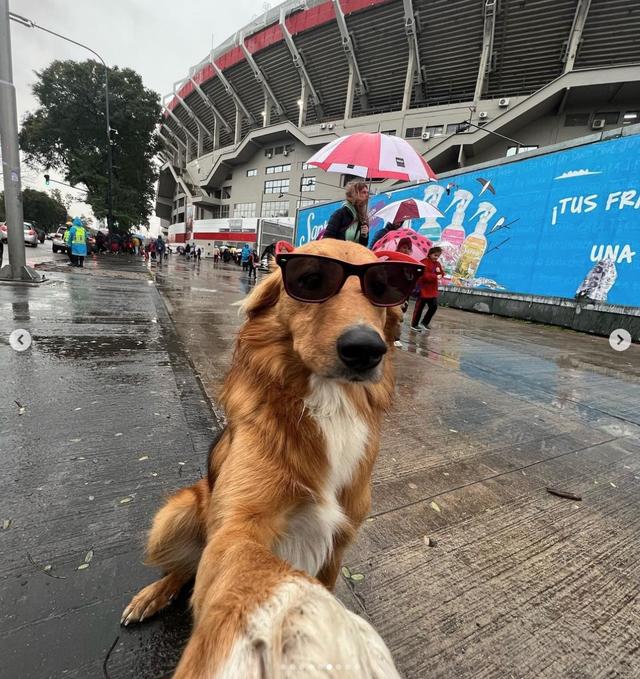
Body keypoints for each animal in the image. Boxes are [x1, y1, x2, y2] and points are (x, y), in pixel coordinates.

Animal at [122, 239, 422, 679]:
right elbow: (256, 577)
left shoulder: (339, 542)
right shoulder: (239, 526)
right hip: (177, 512)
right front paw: (304, 619)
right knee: (185, 567)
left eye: (383, 288)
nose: (366, 350)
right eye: (311, 280)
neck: (327, 402)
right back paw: (153, 594)